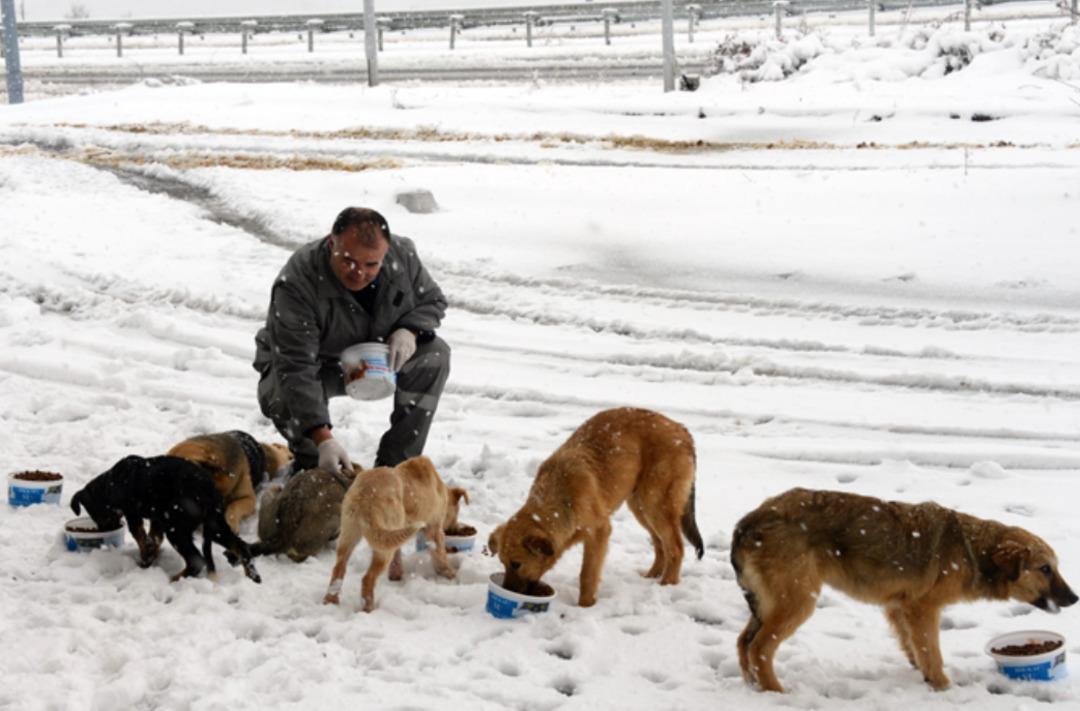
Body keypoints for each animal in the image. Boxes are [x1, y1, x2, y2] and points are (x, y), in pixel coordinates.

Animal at [71, 453, 261, 583]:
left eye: (95, 514)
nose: (104, 530)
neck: (111, 484)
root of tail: (209, 491)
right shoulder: (158, 518)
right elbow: (154, 539)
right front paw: (150, 557)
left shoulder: (133, 514)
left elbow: (141, 537)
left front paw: (145, 559)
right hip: (214, 525)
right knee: (241, 545)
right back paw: (253, 576)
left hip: (176, 528)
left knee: (197, 561)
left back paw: (172, 580)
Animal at [321, 455, 470, 613]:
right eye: (456, 513)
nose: (454, 529)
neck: (441, 490)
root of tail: (365, 497)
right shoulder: (434, 529)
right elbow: (440, 553)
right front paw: (449, 574)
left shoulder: (396, 532)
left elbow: (397, 556)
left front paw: (395, 574)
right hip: (382, 545)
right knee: (367, 578)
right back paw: (368, 607)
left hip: (349, 534)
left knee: (338, 569)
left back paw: (330, 600)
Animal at [486, 406, 704, 605]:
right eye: (502, 563)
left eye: (516, 564)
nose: (507, 590)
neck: (561, 497)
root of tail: (682, 430)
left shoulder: (599, 532)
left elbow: (587, 574)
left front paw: (585, 605)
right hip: (640, 506)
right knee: (660, 544)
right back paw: (652, 576)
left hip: (655, 503)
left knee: (675, 548)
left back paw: (667, 585)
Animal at [730, 484, 1075, 691]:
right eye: (1045, 569)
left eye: (1055, 567)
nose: (1075, 598)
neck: (971, 550)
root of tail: (748, 522)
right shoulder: (923, 608)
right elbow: (932, 651)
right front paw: (942, 685)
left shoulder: (898, 607)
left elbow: (914, 646)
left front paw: (921, 672)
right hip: (798, 600)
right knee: (759, 648)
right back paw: (776, 692)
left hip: (769, 604)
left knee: (743, 642)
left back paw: (752, 686)